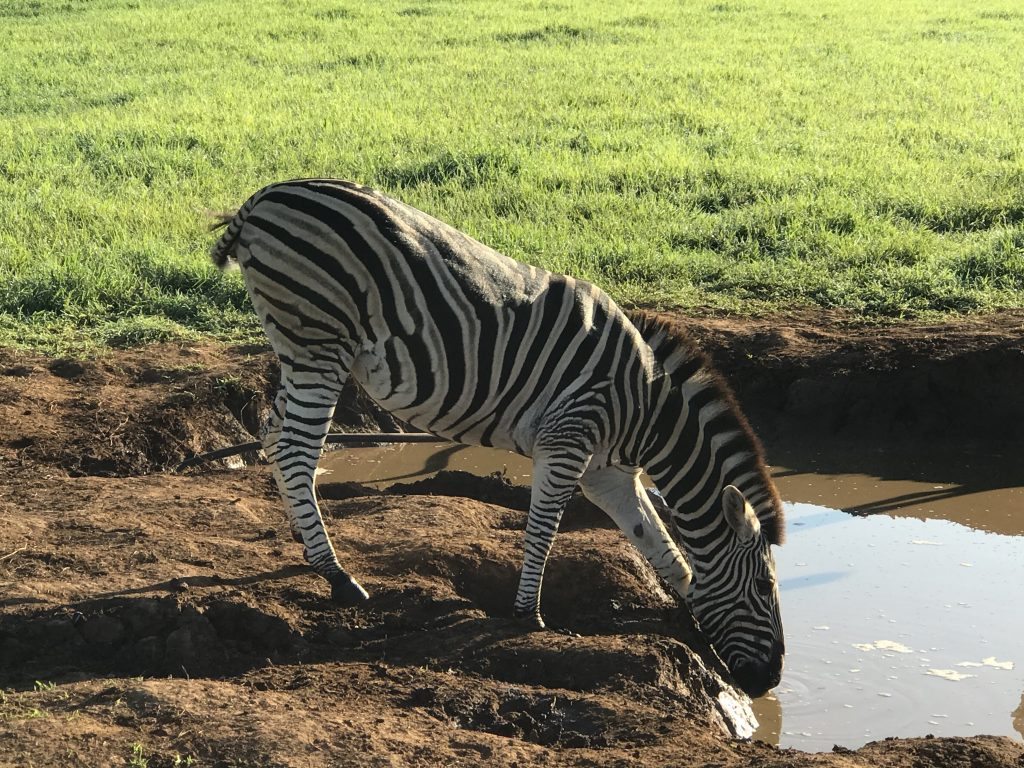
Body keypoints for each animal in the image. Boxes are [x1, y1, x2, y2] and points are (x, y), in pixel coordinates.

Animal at [205, 179, 782, 696]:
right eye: (765, 585)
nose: (771, 680)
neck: (645, 411)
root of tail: (265, 197)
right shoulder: (567, 442)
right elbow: (543, 531)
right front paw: (530, 615)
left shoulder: (608, 474)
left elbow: (658, 544)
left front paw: (687, 612)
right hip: (318, 343)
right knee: (298, 450)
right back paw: (338, 575)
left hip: (301, 351)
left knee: (275, 434)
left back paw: (306, 543)